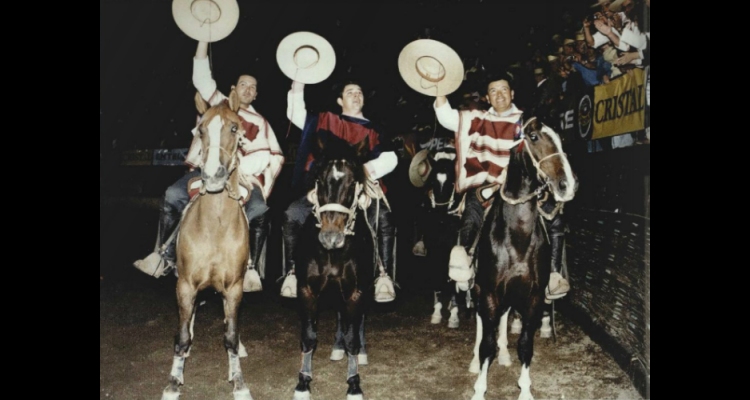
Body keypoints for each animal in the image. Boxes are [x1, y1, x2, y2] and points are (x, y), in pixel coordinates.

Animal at [162, 90, 254, 400]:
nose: (213, 176)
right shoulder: (186, 285)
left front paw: (239, 382)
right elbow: (181, 335)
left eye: (235, 128)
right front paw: (173, 382)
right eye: (201, 129)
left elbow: (231, 336)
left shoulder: (234, 288)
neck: (215, 227)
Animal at [294, 135, 376, 400]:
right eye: (319, 180)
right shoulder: (307, 290)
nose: (331, 236)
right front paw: (303, 382)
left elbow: (352, 337)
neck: (332, 253)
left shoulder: (355, 292)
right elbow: (309, 337)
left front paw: (354, 384)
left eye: (352, 183)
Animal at [468, 116, 580, 400]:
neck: (517, 238)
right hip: (479, 290)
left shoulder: (533, 298)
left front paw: (525, 389)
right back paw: (474, 362)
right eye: (534, 137)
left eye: (561, 139)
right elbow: (486, 345)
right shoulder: (490, 294)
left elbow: (526, 345)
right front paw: (479, 390)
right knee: (481, 325)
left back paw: (504, 356)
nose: (568, 184)